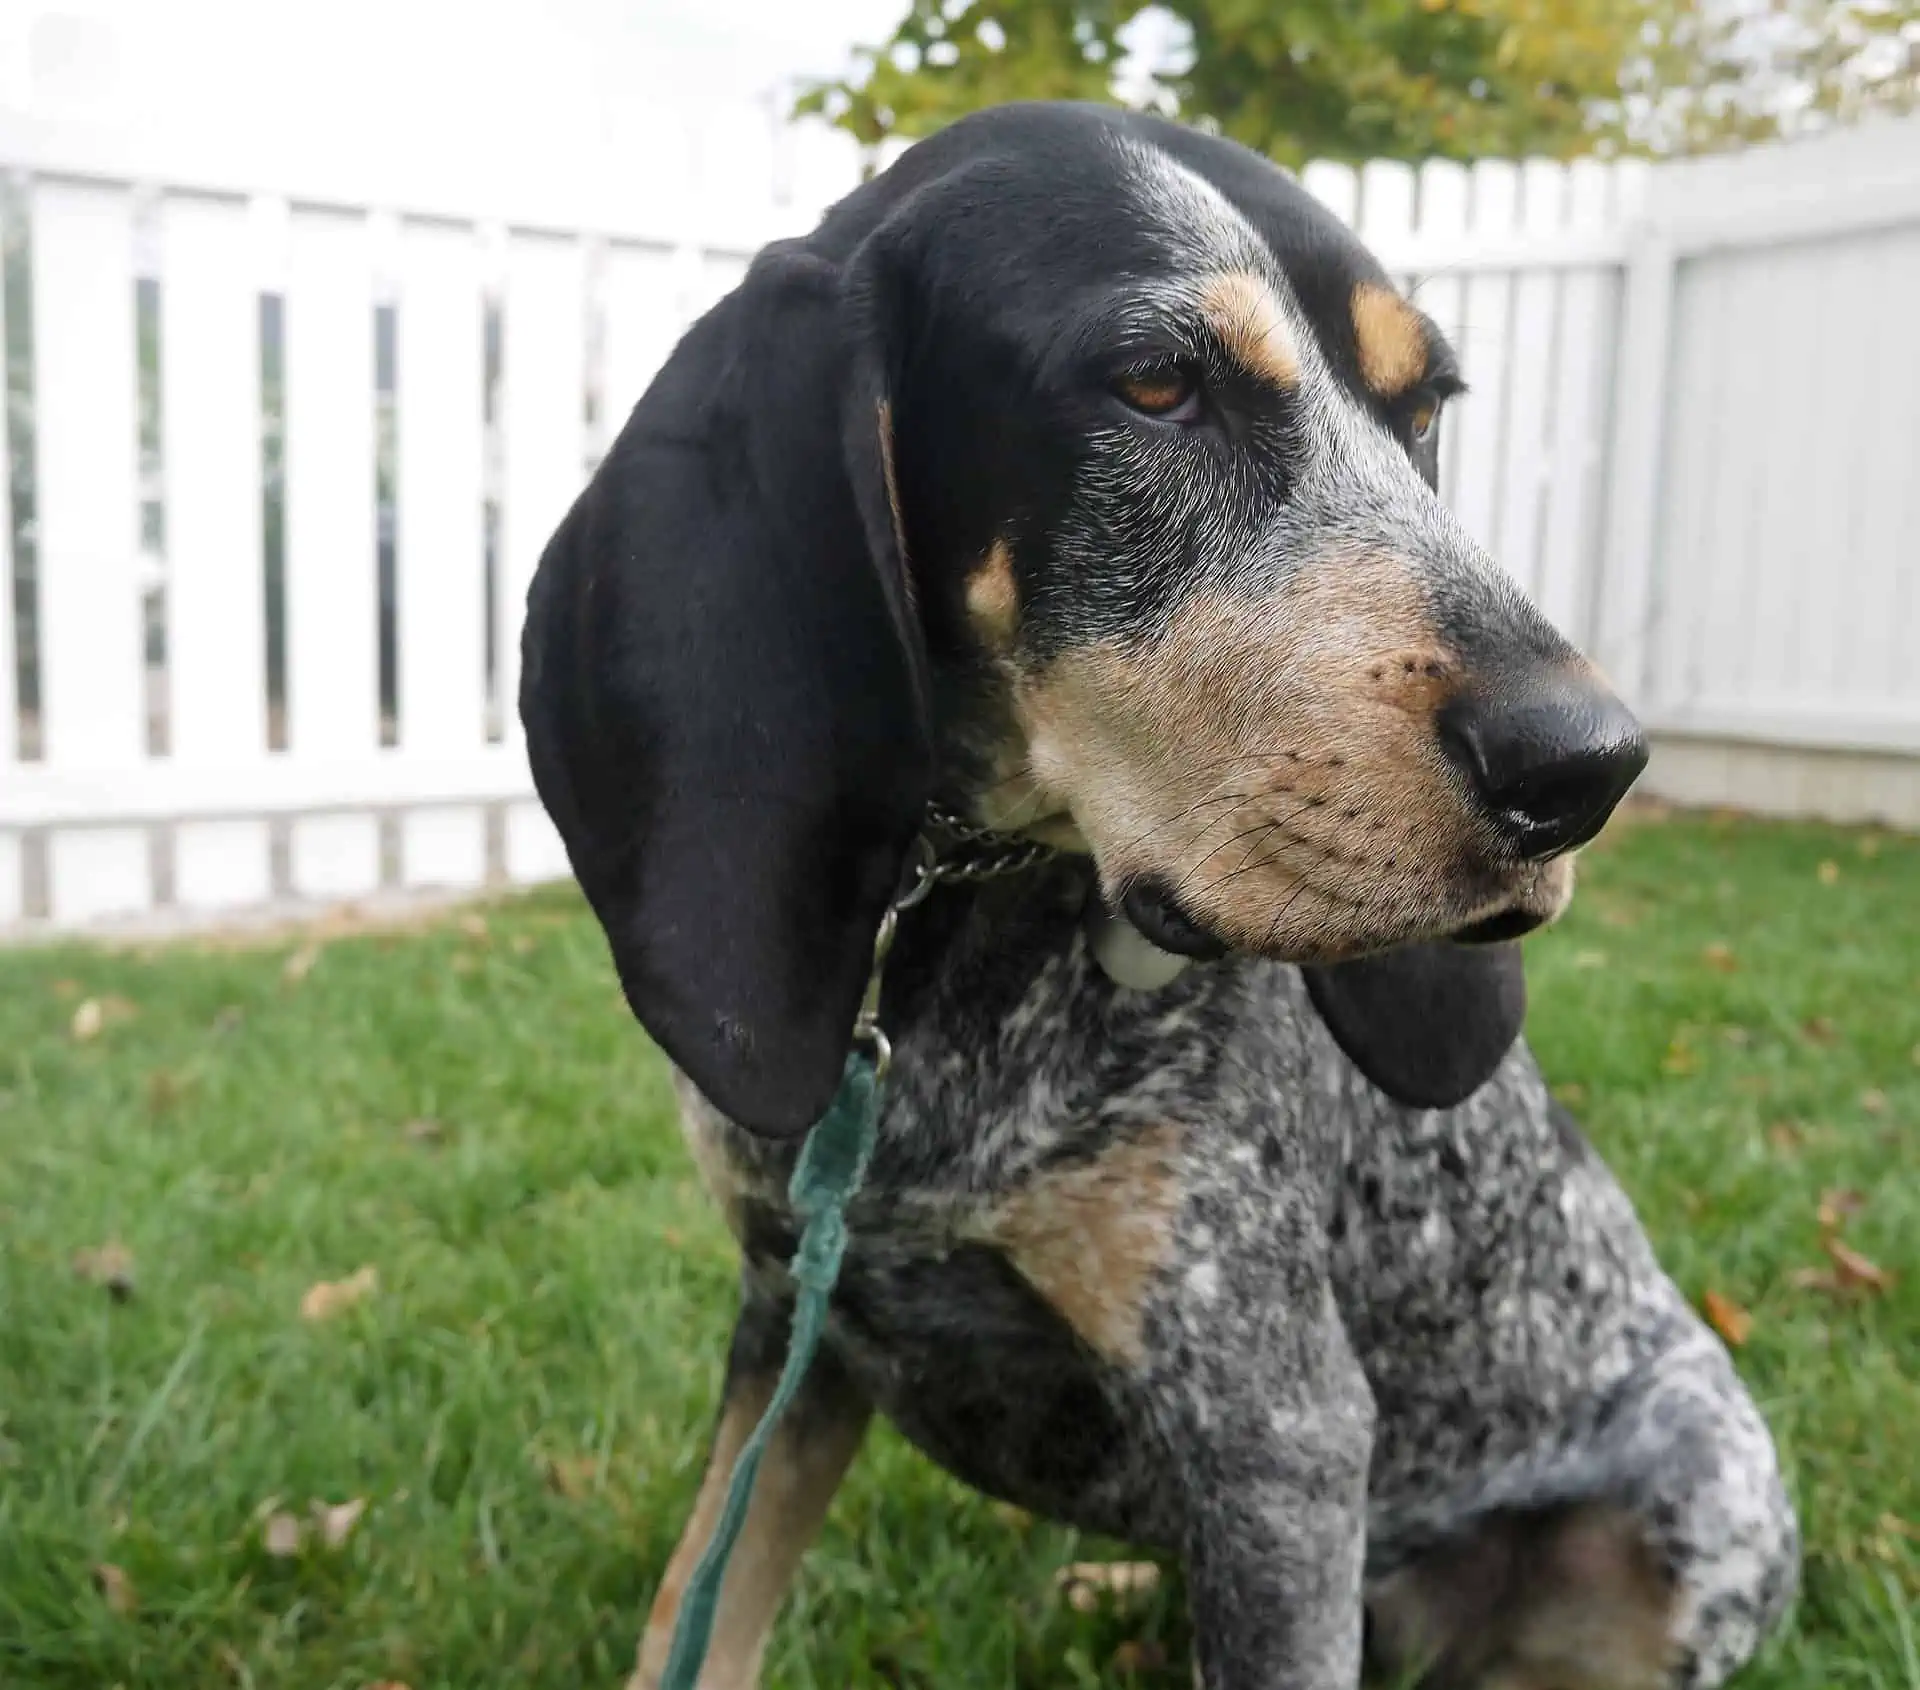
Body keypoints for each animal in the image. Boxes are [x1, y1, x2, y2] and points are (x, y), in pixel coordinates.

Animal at [514, 98, 1797, 1682]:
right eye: (1155, 384)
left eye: (1425, 409)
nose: (1589, 765)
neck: (959, 956)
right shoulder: (791, 1323)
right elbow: (695, 1609)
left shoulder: (1276, 1432)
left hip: (1692, 1519)